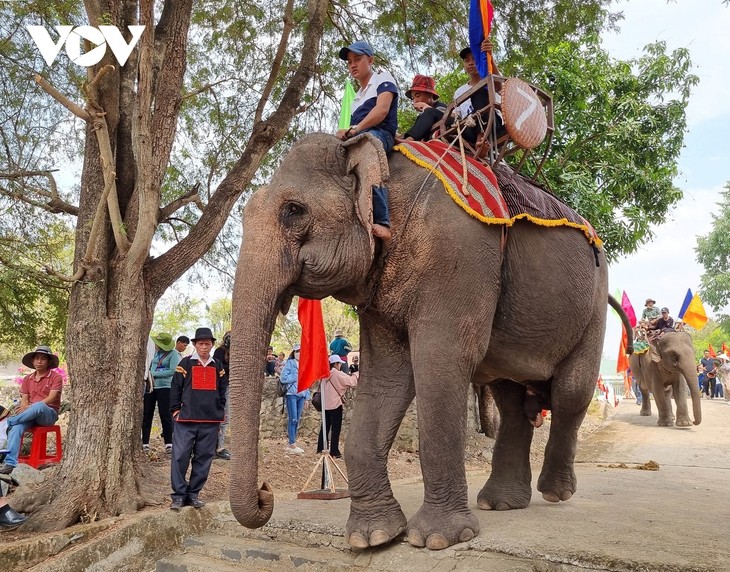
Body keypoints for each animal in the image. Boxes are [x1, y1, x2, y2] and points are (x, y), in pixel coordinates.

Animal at [229, 133, 616, 548]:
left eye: (294, 211)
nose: (265, 492)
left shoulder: (457, 256)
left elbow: (440, 361)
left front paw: (436, 539)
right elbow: (386, 375)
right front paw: (372, 537)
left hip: (593, 305)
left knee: (570, 393)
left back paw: (554, 493)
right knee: (511, 402)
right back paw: (500, 503)